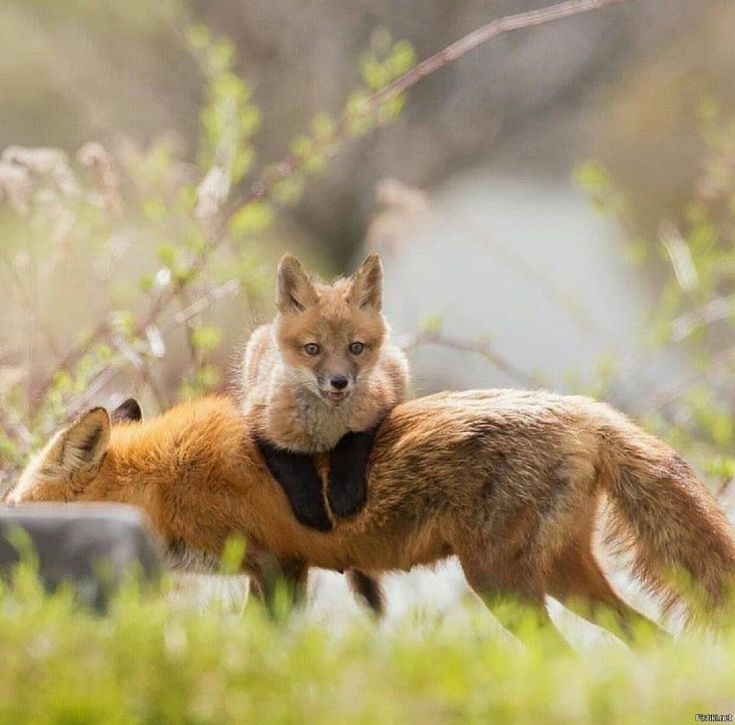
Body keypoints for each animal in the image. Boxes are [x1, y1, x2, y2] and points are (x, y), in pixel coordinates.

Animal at [5, 394, 735, 640]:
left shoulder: (277, 565)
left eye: (16, 508)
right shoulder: (283, 571)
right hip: (561, 579)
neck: (162, 481)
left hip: (503, 586)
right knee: (652, 645)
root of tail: (587, 412)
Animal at [243, 252, 412, 528]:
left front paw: (344, 492)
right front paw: (310, 504)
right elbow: (287, 461)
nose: (339, 381)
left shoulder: (381, 404)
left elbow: (351, 441)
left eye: (356, 347)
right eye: (312, 348)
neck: (325, 430)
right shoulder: (256, 419)